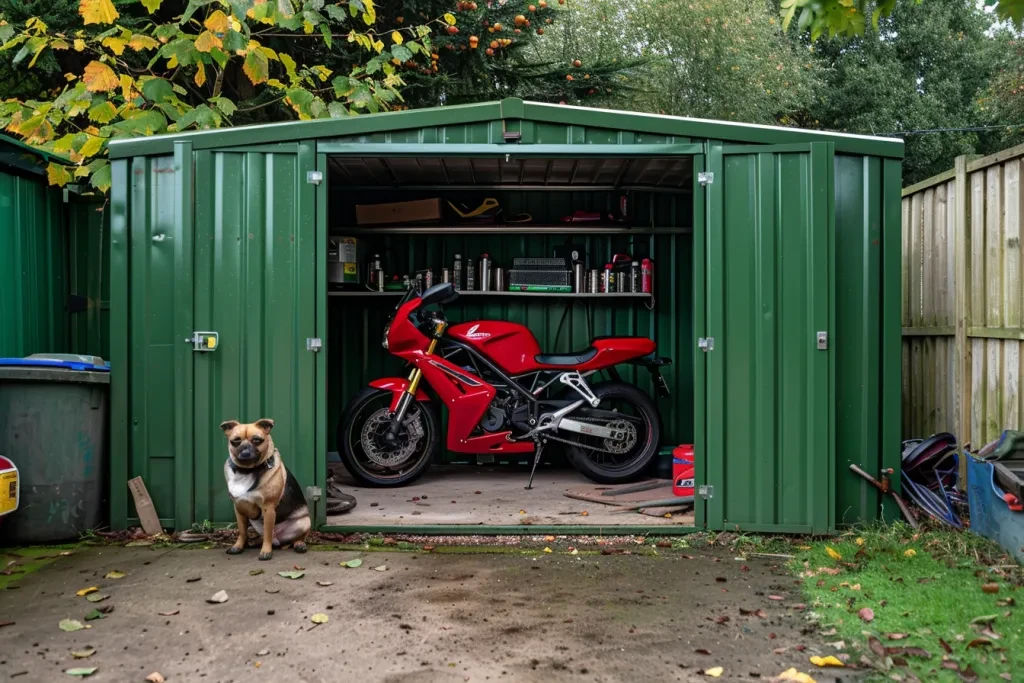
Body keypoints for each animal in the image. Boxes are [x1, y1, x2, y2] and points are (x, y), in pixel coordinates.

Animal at [219, 417, 307, 561]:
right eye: (235, 441)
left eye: (256, 440)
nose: (245, 452)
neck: (246, 471)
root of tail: (279, 540)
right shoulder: (238, 509)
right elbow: (242, 532)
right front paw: (238, 546)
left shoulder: (268, 509)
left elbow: (267, 533)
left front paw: (266, 551)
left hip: (303, 523)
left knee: (294, 538)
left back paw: (299, 544)